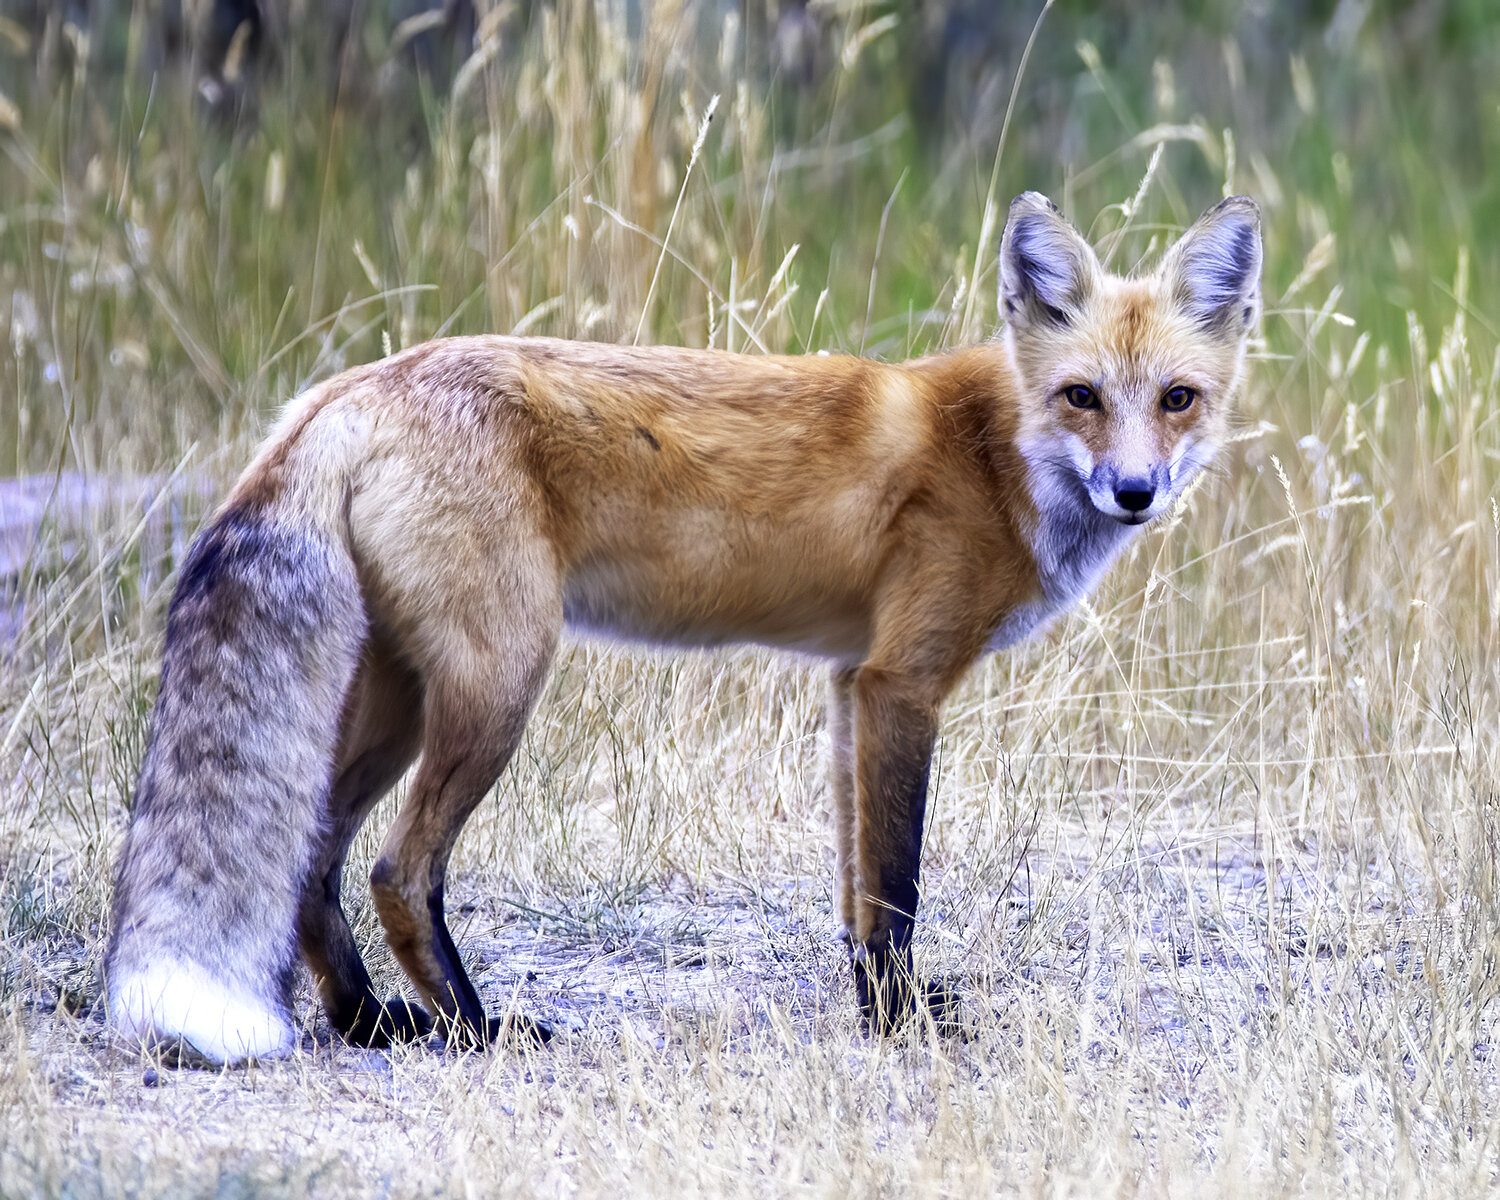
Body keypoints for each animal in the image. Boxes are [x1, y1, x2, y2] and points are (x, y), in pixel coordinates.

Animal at [102, 192, 1266, 1062]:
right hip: (497, 686)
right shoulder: (903, 682)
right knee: (400, 870)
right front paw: (899, 1030)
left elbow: (856, 892)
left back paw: (364, 1022)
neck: (993, 451)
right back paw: (475, 1031)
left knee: (314, 862)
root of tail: (348, 388)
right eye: (1081, 396)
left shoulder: (850, 684)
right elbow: (896, 888)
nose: (1134, 492)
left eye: (1176, 398)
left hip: (395, 698)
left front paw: (874, 1012)